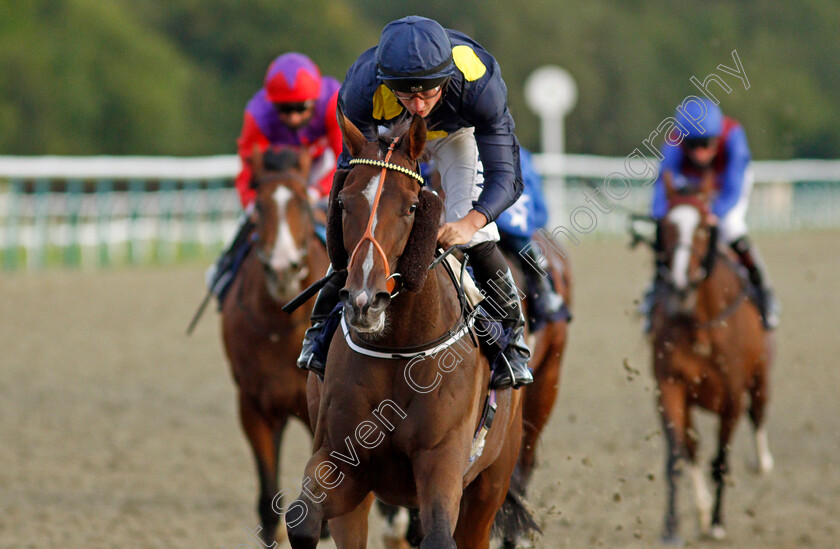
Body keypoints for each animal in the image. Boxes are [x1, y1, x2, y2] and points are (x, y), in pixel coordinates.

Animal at [220, 148, 332, 544]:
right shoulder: (253, 405)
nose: (283, 268)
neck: (281, 326)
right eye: (260, 205)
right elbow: (269, 507)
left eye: (301, 201)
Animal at [288, 112, 536, 548]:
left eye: (412, 207)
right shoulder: (342, 461)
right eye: (343, 202)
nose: (365, 301)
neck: (397, 348)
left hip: (491, 481)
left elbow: (438, 536)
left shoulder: (443, 461)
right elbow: (302, 520)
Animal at [648, 173, 776, 540]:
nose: (680, 282)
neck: (700, 325)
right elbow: (677, 458)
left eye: (704, 227)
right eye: (666, 226)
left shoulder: (732, 394)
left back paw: (761, 463)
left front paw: (718, 523)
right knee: (692, 450)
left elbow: (720, 460)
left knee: (758, 415)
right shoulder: (670, 386)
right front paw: (672, 526)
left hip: (761, 376)